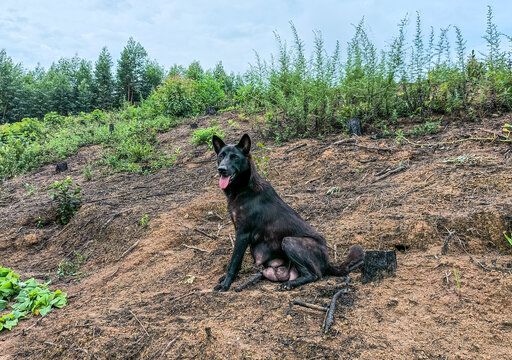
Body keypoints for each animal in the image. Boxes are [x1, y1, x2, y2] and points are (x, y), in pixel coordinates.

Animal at [212, 134, 364, 292]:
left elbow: (234, 262)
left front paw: (226, 285)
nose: (221, 169)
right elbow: (238, 261)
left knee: (314, 275)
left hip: (289, 241)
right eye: (221, 156)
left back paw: (290, 284)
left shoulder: (242, 233)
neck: (244, 188)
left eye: (235, 157)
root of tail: (328, 263)